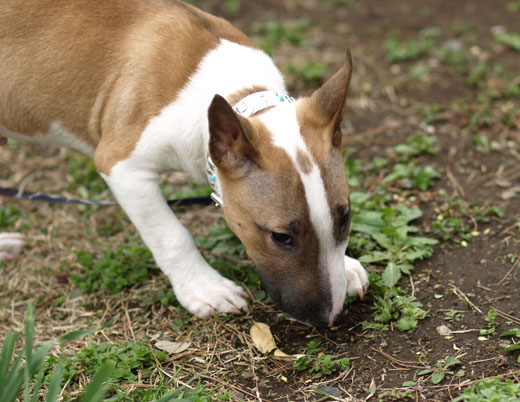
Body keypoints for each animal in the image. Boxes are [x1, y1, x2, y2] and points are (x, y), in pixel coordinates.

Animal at [0, 0, 368, 326]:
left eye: (345, 216)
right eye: (280, 237)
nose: (329, 318)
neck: (234, 93)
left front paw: (347, 266)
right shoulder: (121, 165)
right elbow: (172, 234)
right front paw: (205, 288)